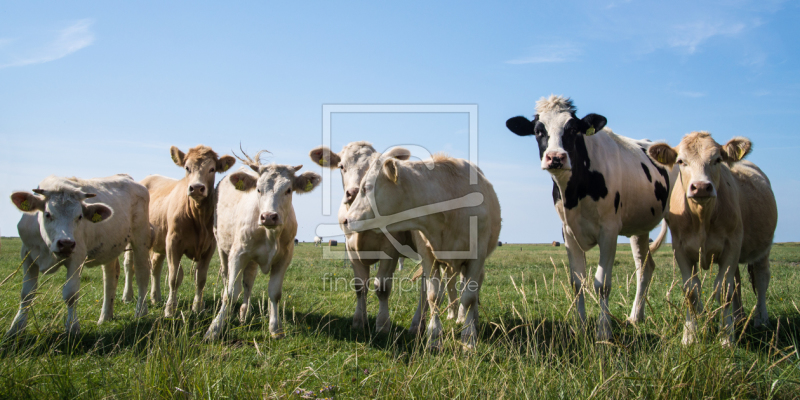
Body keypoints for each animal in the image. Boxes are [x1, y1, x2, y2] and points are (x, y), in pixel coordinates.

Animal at [8, 175, 152, 334]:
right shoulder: (27, 256)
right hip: (111, 245)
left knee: (141, 273)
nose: (66, 243)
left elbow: (71, 294)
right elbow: (26, 293)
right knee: (110, 277)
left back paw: (141, 311)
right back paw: (105, 316)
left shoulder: (77, 257)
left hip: (141, 238)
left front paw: (72, 327)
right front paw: (17, 327)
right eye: (48, 214)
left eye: (80, 216)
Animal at [122, 145, 234, 318]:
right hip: (134, 237)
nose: (196, 188)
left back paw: (155, 297)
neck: (197, 216)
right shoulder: (173, 243)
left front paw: (197, 307)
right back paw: (127, 296)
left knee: (155, 266)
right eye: (187, 168)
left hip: (159, 240)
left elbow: (200, 278)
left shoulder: (210, 246)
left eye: (212, 169)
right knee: (129, 265)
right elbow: (174, 277)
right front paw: (170, 309)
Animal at [205, 151, 320, 340]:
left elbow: (274, 293)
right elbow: (230, 293)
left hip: (251, 260)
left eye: (288, 190)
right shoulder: (237, 254)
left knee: (248, 282)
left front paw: (275, 329)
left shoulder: (284, 258)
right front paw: (214, 329)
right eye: (258, 189)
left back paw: (244, 312)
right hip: (222, 247)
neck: (270, 235)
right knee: (226, 277)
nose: (268, 216)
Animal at [506, 95, 676, 340]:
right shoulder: (568, 232)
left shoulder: (609, 230)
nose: (555, 157)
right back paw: (636, 317)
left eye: (573, 129)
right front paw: (580, 326)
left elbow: (602, 283)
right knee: (645, 267)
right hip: (640, 228)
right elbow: (577, 282)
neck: (576, 190)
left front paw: (603, 331)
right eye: (538, 131)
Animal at [648, 133, 776, 346]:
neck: (702, 218)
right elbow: (691, 291)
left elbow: (724, 290)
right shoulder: (680, 249)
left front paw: (726, 337)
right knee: (737, 281)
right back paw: (739, 317)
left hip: (763, 249)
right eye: (681, 161)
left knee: (761, 279)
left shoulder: (732, 246)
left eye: (717, 159)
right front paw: (690, 335)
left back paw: (761, 319)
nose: (700, 187)